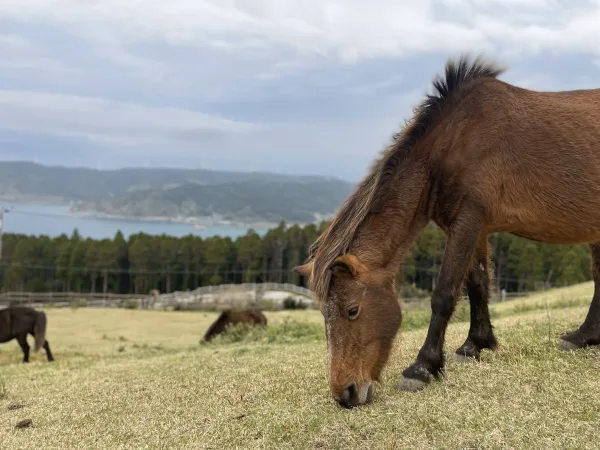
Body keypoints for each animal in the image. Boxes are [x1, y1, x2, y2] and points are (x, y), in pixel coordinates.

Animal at [292, 52, 600, 408]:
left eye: (352, 310)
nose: (346, 394)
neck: (451, 143)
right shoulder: (474, 227)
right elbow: (478, 284)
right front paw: (474, 345)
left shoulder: (468, 220)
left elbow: (444, 294)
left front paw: (422, 367)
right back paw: (583, 337)